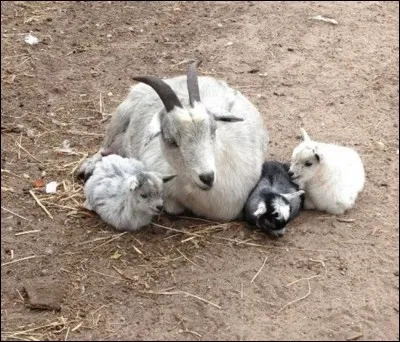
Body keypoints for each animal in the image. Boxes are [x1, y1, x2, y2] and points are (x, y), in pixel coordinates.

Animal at [77, 62, 268, 220]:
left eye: (213, 131)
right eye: (170, 140)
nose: (207, 177)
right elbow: (172, 208)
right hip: (120, 116)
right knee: (104, 147)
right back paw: (87, 167)